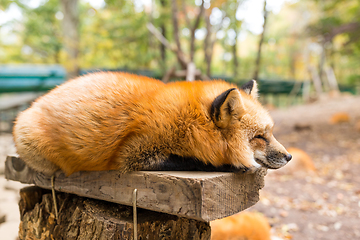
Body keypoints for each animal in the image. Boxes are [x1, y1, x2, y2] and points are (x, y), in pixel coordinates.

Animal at [12, 72, 292, 175]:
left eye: (270, 133)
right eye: (259, 137)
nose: (289, 157)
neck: (189, 124)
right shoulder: (133, 154)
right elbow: (195, 161)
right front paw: (233, 164)